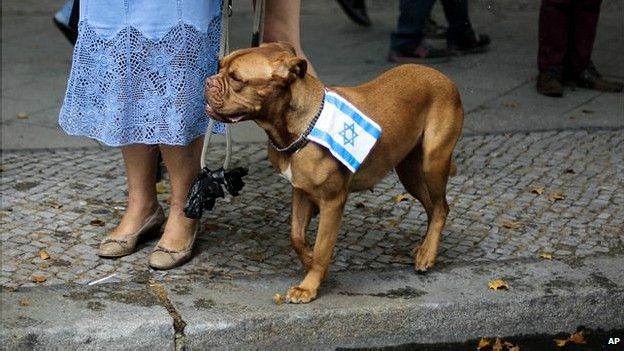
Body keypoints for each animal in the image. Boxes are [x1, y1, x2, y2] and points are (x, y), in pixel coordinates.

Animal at [205, 42, 464, 304]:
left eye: (236, 78)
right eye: (220, 66)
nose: (208, 81)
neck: (297, 126)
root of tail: (443, 78)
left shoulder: (332, 202)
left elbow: (322, 247)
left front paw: (309, 285)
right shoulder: (301, 191)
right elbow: (296, 236)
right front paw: (309, 260)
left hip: (433, 162)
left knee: (441, 207)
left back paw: (427, 253)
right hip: (409, 172)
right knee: (433, 207)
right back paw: (425, 248)